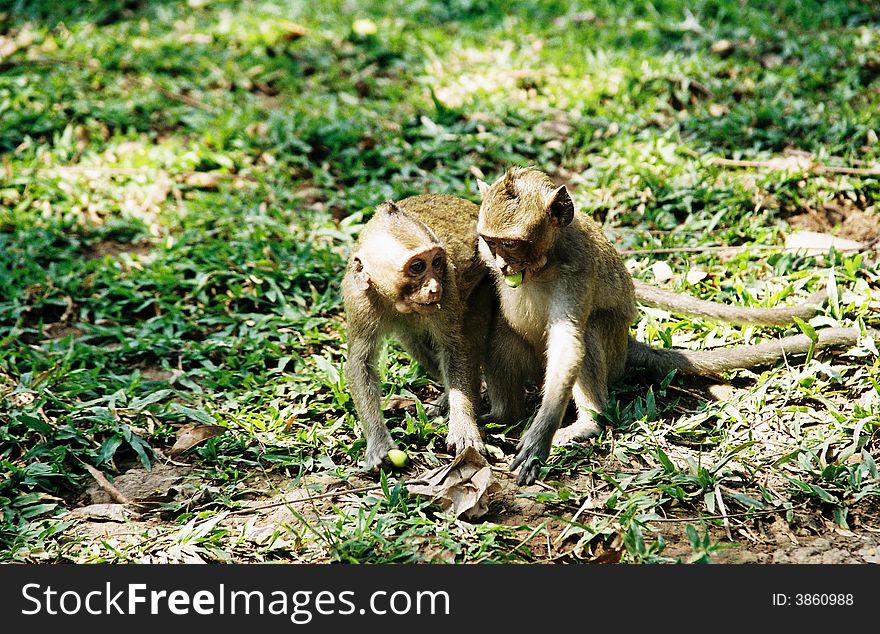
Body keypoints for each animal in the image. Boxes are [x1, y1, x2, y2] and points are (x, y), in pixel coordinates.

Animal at [344, 193, 496, 470]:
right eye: (416, 267)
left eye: (436, 263)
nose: (434, 288)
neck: (391, 297)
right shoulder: (358, 297)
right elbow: (360, 362)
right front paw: (378, 441)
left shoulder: (449, 286)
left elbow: (455, 347)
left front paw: (463, 426)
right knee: (412, 339)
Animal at [474, 165, 868, 482]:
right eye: (491, 242)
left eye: (513, 244)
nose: (504, 267)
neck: (546, 259)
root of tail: (627, 347)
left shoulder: (577, 270)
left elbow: (570, 343)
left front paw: (540, 438)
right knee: (501, 337)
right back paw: (503, 415)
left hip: (612, 355)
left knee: (588, 332)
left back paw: (588, 422)